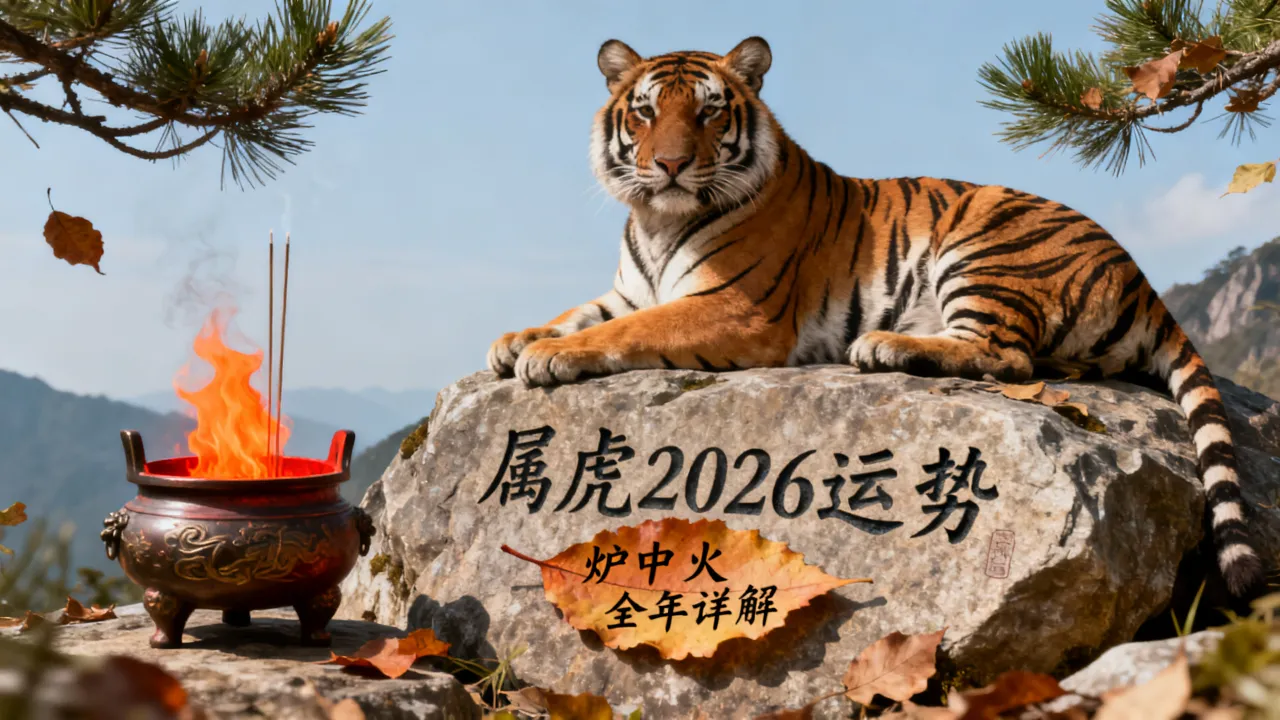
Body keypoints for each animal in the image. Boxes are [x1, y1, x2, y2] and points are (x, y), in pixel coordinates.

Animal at [485, 37, 1265, 597]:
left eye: (708, 111)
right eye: (645, 112)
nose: (671, 165)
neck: (655, 220)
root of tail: (1141, 277)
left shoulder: (735, 307)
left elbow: (622, 331)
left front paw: (549, 357)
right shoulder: (631, 288)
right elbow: (579, 311)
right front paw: (512, 341)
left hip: (982, 244)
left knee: (1006, 355)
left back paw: (886, 344)